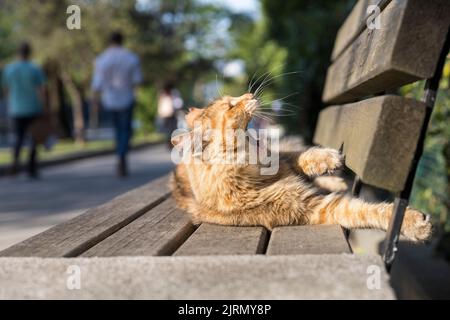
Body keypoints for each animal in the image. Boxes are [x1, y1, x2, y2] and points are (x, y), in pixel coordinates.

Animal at [171, 92, 430, 240]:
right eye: (229, 107)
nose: (249, 93)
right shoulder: (312, 208)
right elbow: (364, 211)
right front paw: (414, 224)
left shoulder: (284, 159)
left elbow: (303, 157)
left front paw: (328, 160)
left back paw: (334, 179)